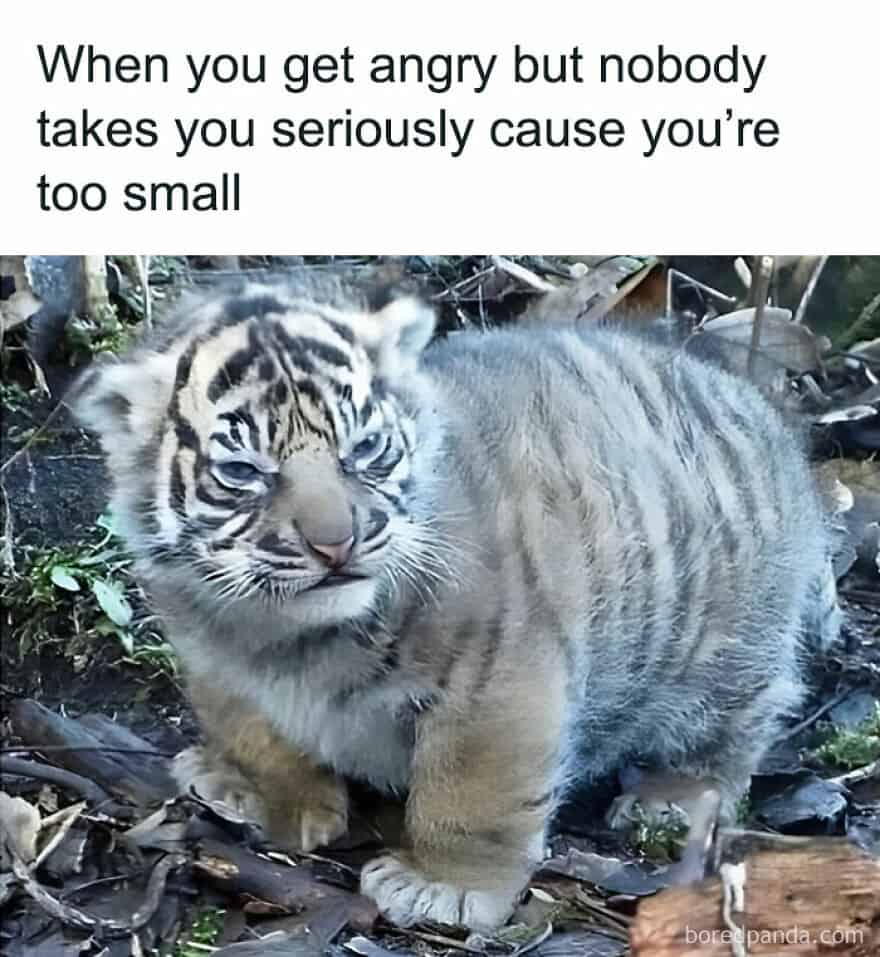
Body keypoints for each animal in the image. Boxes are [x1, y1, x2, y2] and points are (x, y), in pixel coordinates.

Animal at [70, 274, 840, 932]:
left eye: (365, 448)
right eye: (243, 470)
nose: (336, 543)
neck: (280, 633)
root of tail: (773, 426)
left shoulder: (495, 683)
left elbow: (471, 790)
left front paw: (444, 887)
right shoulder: (218, 664)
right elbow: (257, 735)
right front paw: (256, 793)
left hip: (725, 651)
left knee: (737, 726)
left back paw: (672, 799)